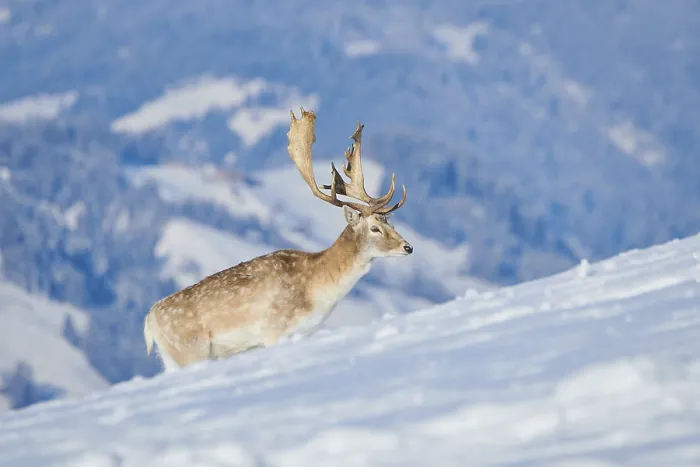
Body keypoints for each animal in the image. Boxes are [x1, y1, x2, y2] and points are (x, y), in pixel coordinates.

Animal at [143, 108, 412, 371]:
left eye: (390, 221)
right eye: (375, 228)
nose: (408, 247)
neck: (316, 291)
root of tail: (149, 321)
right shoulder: (273, 330)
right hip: (190, 352)